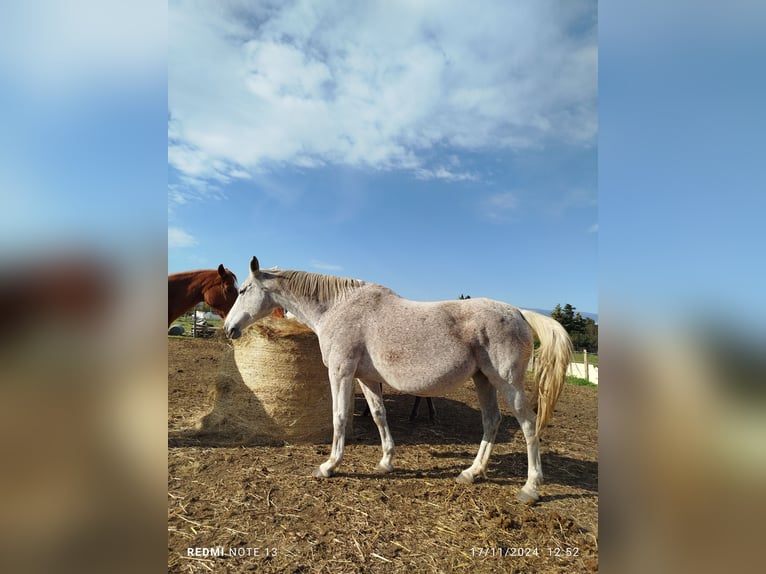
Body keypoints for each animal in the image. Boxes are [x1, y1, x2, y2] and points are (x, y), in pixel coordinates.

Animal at [225, 256, 572, 504]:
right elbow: (379, 415)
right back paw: (472, 472)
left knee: (528, 425)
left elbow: (339, 417)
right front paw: (386, 461)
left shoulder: (341, 372)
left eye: (242, 291)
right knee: (491, 421)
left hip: (508, 383)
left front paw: (329, 466)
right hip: (483, 380)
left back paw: (530, 488)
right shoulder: (365, 378)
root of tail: (520, 313)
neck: (337, 308)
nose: (229, 328)